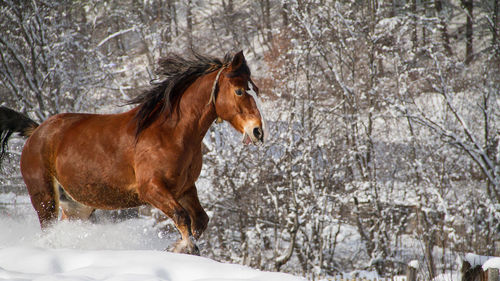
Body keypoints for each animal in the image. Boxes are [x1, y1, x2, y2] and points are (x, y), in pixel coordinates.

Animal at [0, 50, 266, 254]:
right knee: (48, 231)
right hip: (45, 197)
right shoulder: (151, 189)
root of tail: (36, 132)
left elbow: (199, 219)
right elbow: (182, 217)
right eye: (240, 91)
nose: (257, 131)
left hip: (77, 206)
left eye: (253, 88)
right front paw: (183, 247)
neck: (170, 132)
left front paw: (177, 246)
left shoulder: (184, 188)